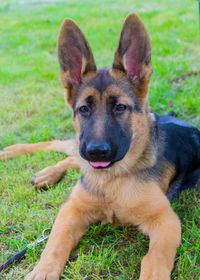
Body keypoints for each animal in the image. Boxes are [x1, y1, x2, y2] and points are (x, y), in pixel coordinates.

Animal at [0, 12, 200, 280]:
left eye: (121, 107)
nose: (96, 151)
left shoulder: (166, 221)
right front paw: (42, 271)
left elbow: (154, 259)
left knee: (71, 156)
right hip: (78, 148)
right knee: (63, 148)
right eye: (84, 109)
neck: (111, 180)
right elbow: (55, 242)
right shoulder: (72, 209)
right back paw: (20, 157)